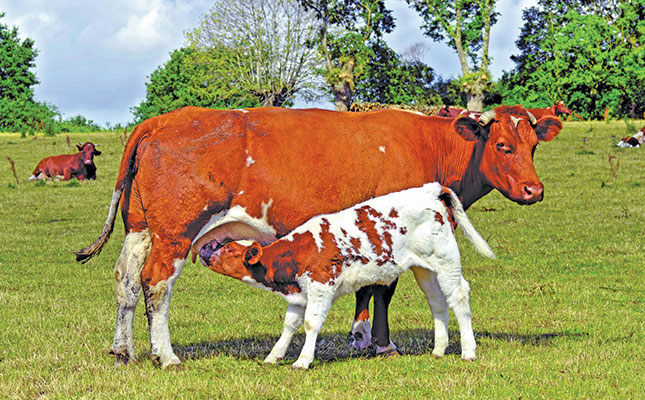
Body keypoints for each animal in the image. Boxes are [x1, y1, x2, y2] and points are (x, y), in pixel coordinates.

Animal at [200, 183, 494, 370]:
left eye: (228, 249)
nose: (205, 248)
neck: (297, 251)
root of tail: (431, 190)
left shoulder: (320, 287)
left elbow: (311, 324)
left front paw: (303, 361)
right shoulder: (299, 294)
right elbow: (289, 325)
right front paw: (274, 356)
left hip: (446, 262)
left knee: (458, 298)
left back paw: (468, 351)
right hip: (424, 269)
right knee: (438, 303)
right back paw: (439, 349)